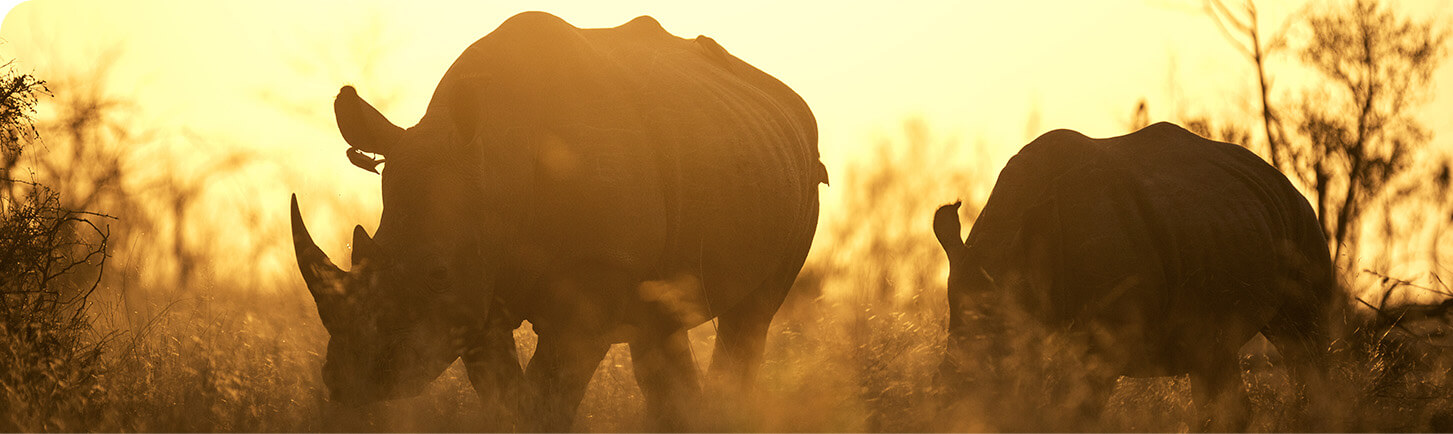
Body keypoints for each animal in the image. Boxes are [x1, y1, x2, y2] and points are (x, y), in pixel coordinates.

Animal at [289, 11, 825, 432]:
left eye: (437, 273)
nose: (350, 382)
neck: (494, 164)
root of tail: (790, 102)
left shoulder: (589, 284)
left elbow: (546, 402)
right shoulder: (479, 286)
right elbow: (506, 401)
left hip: (803, 175)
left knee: (751, 317)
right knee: (659, 328)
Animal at [929, 122, 1336, 432]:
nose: (951, 400)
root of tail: (1279, 177)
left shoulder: (1104, 341)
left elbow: (1074, 412)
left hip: (1301, 219)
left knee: (1302, 340)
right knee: (1212, 355)